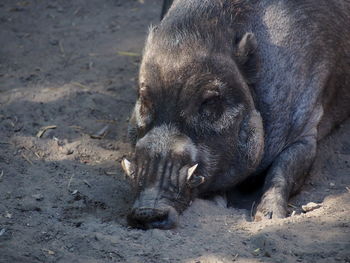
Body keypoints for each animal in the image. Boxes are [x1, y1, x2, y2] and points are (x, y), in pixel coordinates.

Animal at [122, 0, 350, 230]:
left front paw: (268, 218)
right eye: (144, 98)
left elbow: (283, 168)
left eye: (211, 100)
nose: (147, 213)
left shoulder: (306, 125)